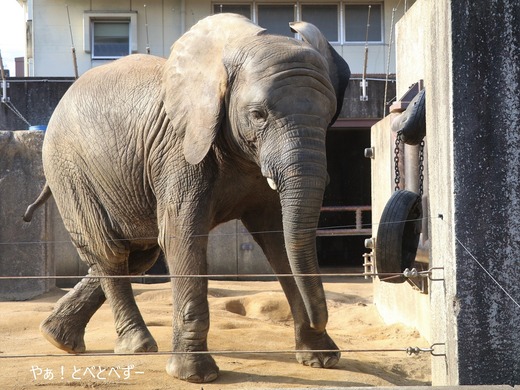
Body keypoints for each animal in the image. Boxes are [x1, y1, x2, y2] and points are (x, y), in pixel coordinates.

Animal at [23, 13, 350, 382]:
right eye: (258, 115)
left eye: (329, 117)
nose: (318, 321)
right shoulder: (179, 149)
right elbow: (182, 236)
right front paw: (195, 375)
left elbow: (279, 239)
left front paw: (322, 359)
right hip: (69, 169)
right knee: (111, 252)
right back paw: (136, 345)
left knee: (137, 253)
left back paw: (57, 337)